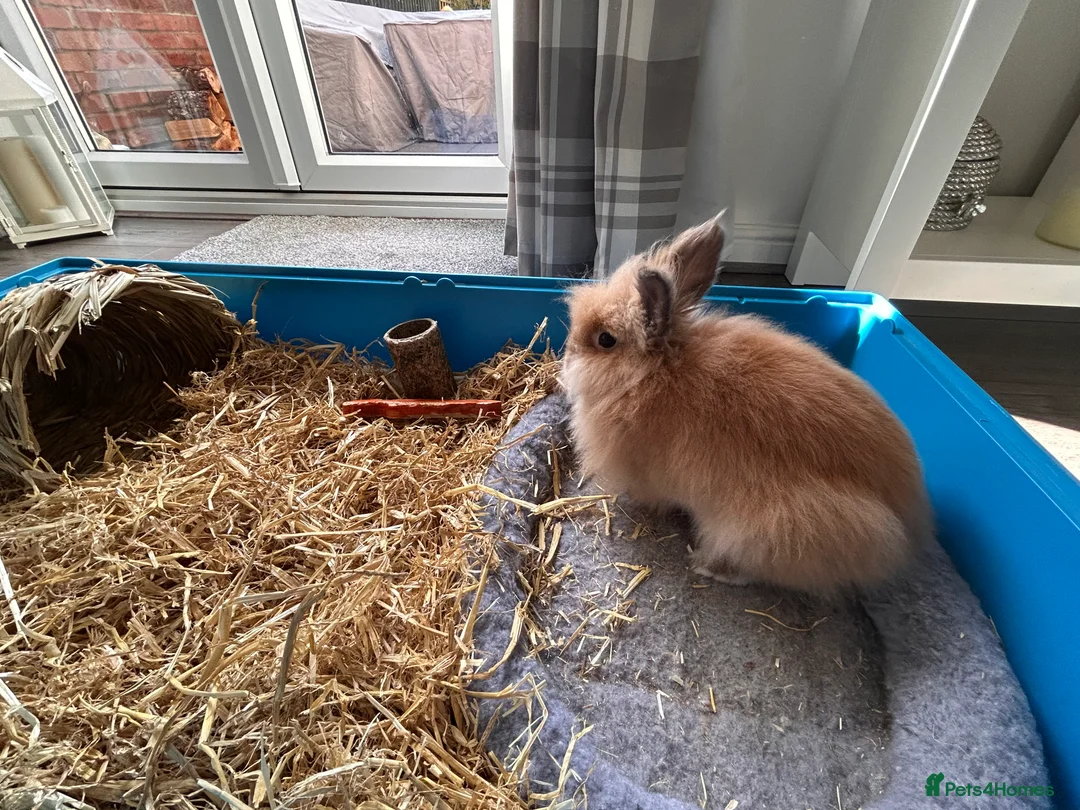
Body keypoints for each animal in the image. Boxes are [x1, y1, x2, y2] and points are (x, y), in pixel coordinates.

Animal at [561, 215, 933, 593]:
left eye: (605, 340)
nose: (566, 357)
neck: (656, 371)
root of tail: (910, 528)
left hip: (768, 531)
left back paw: (708, 566)